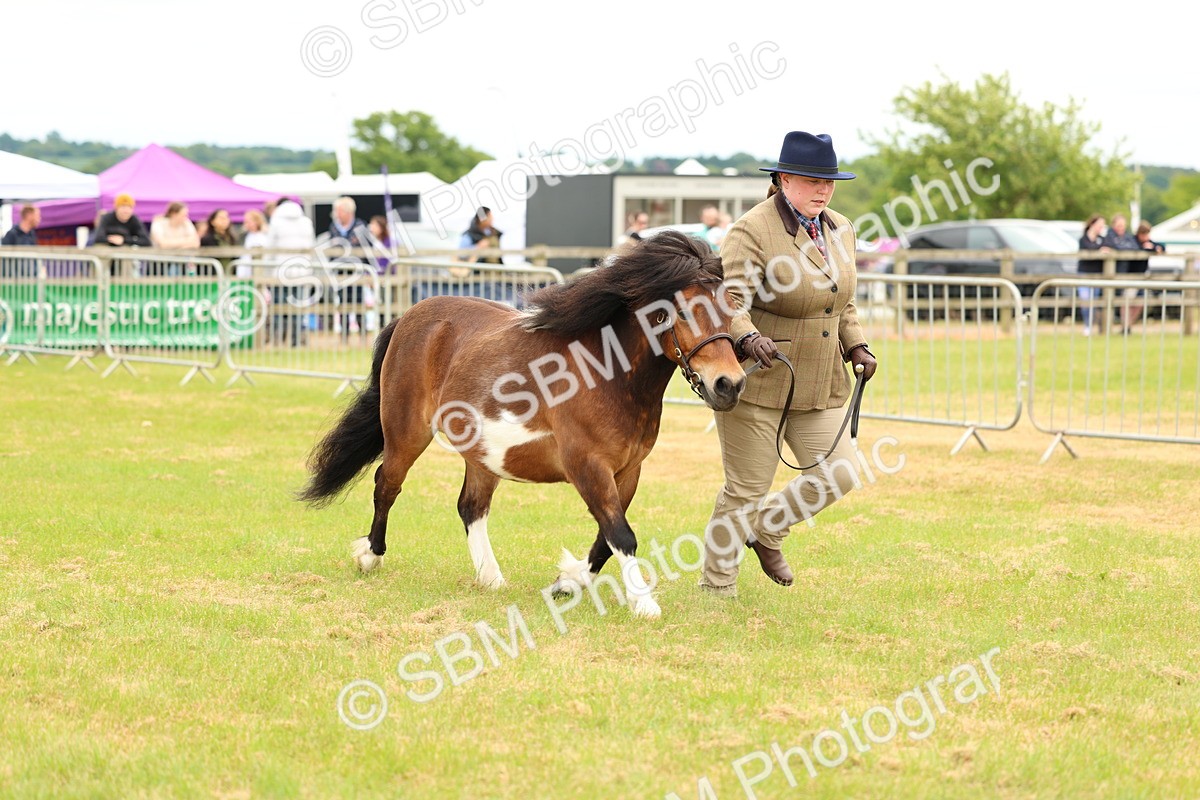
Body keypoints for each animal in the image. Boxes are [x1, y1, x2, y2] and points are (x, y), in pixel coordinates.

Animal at [298, 231, 745, 617]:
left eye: (731, 308)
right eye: (682, 312)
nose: (729, 384)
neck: (607, 374)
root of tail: (412, 314)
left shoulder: (629, 470)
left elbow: (605, 539)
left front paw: (567, 582)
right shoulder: (588, 466)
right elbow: (621, 534)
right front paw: (644, 604)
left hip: (482, 453)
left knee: (470, 506)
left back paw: (490, 577)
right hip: (407, 432)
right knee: (387, 484)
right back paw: (370, 556)